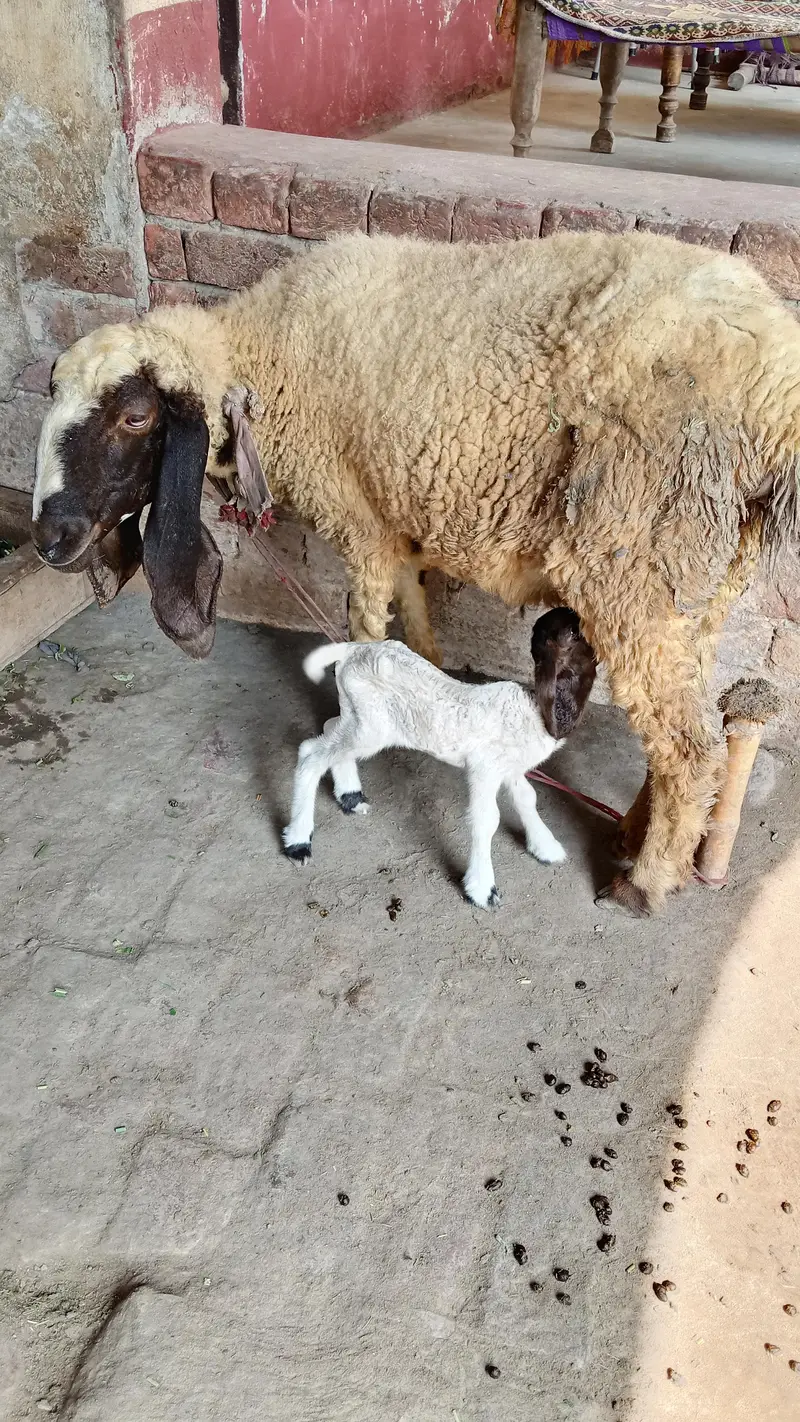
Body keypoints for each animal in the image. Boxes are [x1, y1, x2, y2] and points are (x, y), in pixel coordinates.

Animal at [283, 608, 597, 908]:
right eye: (574, 633)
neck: (536, 710)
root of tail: (351, 650)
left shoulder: (509, 768)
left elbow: (527, 798)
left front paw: (547, 848)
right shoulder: (484, 767)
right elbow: (487, 819)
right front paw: (482, 890)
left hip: (357, 715)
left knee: (328, 729)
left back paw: (350, 796)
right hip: (372, 726)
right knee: (311, 754)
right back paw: (298, 842)